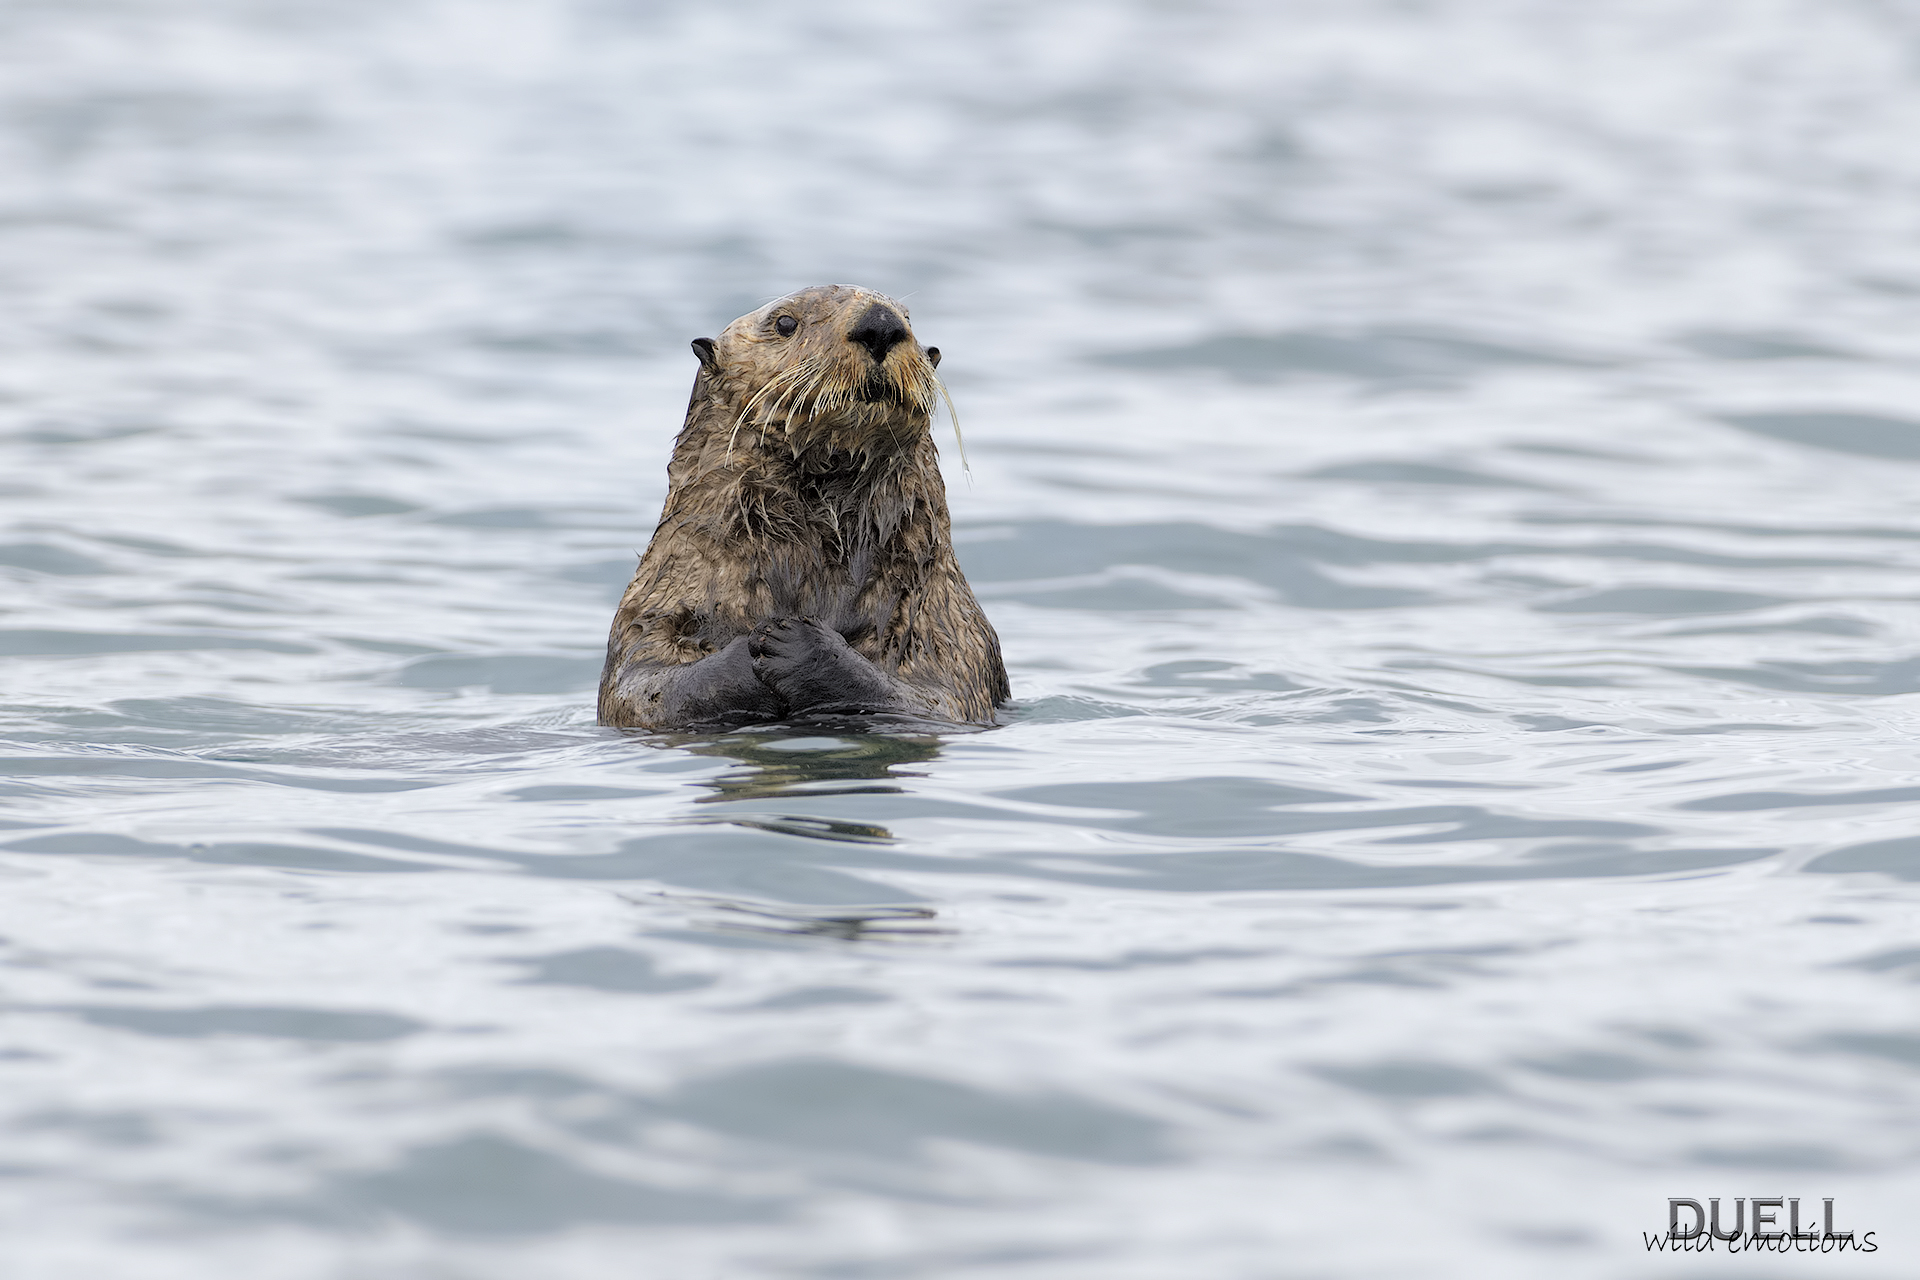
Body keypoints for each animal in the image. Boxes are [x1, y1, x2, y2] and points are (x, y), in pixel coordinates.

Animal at [597, 285, 1008, 731]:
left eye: (908, 318)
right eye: (784, 322)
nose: (881, 325)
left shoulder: (945, 623)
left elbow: (941, 697)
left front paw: (793, 640)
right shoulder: (660, 601)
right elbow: (641, 687)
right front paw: (758, 643)